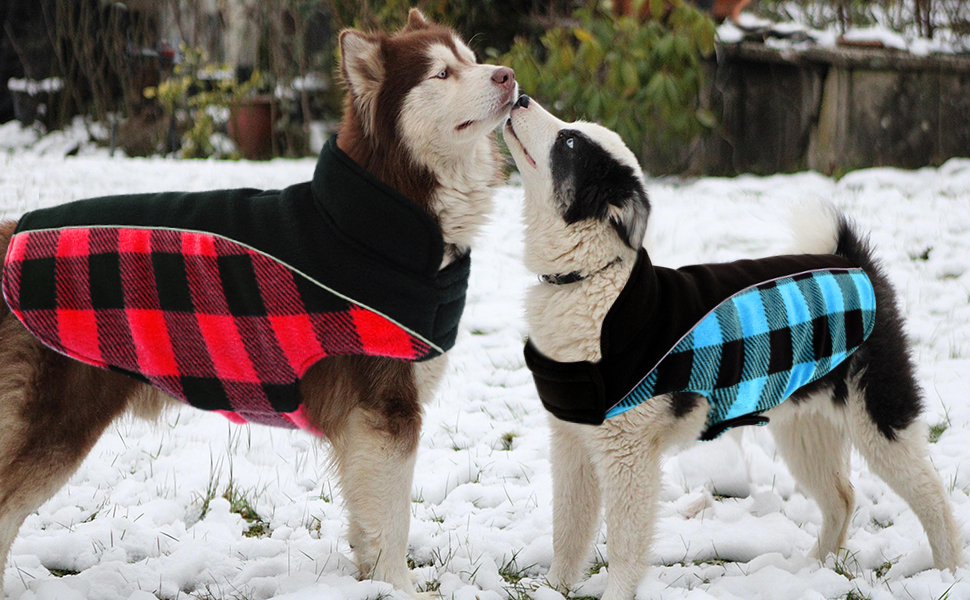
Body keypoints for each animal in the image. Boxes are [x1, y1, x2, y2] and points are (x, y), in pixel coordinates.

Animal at [0, 10, 516, 600]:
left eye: (473, 60)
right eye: (442, 73)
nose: (508, 75)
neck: (371, 224)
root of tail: (13, 231)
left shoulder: (365, 427)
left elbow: (368, 522)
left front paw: (371, 581)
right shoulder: (386, 410)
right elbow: (392, 521)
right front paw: (396, 587)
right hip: (58, 423)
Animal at [502, 96, 956, 596]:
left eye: (569, 141)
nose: (519, 97)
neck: (591, 280)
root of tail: (854, 263)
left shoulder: (628, 452)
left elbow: (623, 541)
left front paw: (615, 593)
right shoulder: (572, 440)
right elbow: (569, 526)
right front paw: (554, 588)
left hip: (879, 414)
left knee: (933, 495)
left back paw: (947, 572)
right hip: (805, 425)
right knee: (841, 496)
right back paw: (813, 567)